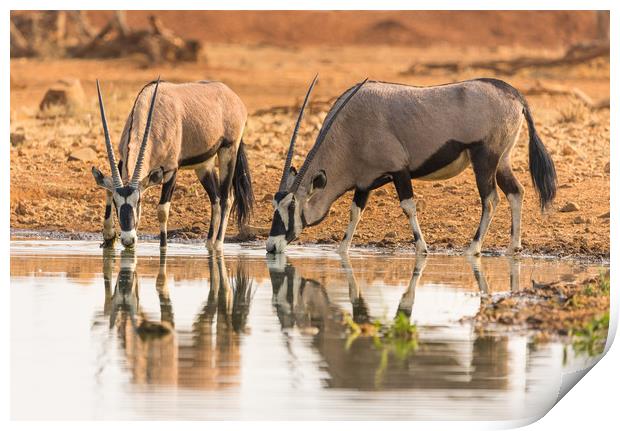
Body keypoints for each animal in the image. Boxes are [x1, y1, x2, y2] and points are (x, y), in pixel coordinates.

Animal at [90, 79, 254, 251]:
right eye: (117, 203)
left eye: (139, 201)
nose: (128, 240)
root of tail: (233, 97)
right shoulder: (121, 162)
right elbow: (108, 190)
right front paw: (109, 236)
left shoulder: (171, 170)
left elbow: (162, 210)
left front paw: (163, 247)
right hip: (203, 166)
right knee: (215, 199)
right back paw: (209, 244)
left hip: (228, 151)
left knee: (226, 199)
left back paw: (217, 245)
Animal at [266, 77, 556, 256]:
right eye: (275, 205)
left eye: (291, 206)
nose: (271, 246)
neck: (350, 131)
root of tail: (514, 94)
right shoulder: (365, 181)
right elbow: (355, 212)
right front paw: (342, 249)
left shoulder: (398, 171)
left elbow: (408, 207)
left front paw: (422, 248)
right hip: (501, 161)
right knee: (516, 192)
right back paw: (513, 247)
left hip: (484, 159)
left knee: (491, 199)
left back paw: (473, 248)